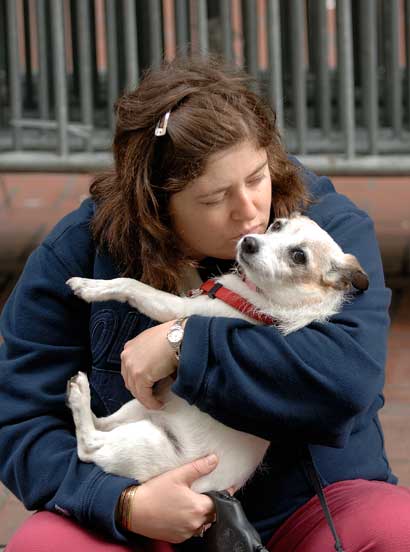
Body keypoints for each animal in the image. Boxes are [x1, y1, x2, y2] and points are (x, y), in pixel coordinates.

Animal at [66, 215, 368, 492]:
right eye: (276, 226)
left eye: (298, 256)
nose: (248, 242)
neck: (262, 294)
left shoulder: (178, 308)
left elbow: (132, 285)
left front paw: (92, 287)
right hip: (141, 408)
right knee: (103, 423)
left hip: (145, 441)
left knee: (90, 446)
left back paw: (79, 396)